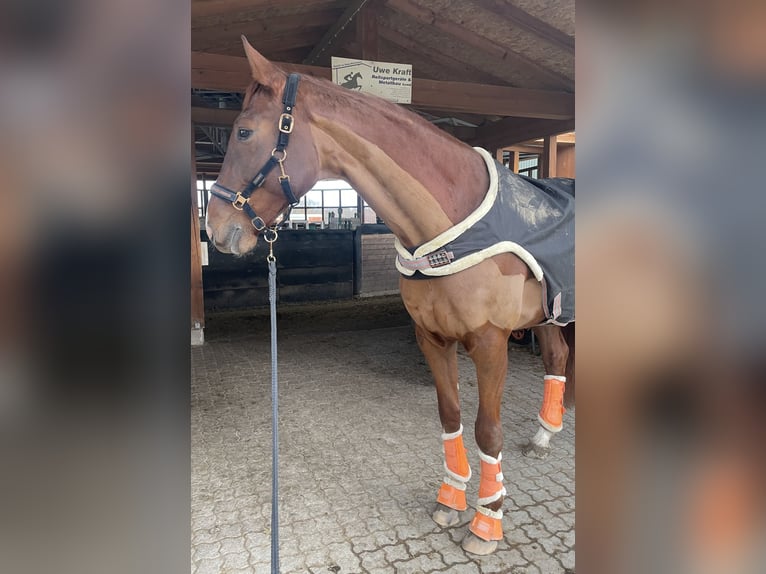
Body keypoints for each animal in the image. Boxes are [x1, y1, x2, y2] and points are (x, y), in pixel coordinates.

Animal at [206, 37, 576, 560]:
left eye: (243, 132)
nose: (216, 231)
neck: (450, 221)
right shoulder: (432, 339)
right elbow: (450, 415)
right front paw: (450, 499)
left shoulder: (490, 344)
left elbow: (487, 428)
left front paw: (488, 522)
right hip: (549, 317)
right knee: (558, 358)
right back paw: (544, 436)